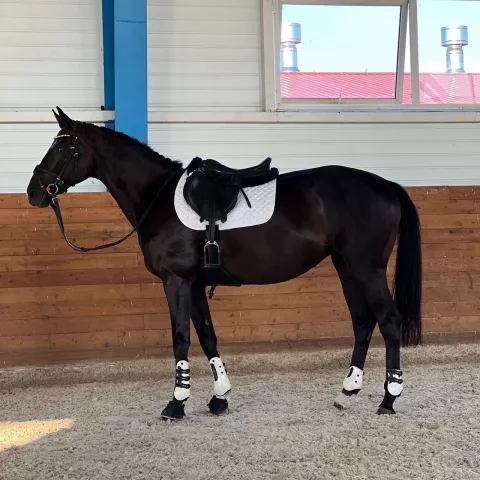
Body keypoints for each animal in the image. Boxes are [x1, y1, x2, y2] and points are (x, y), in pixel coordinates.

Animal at [28, 109, 422, 420]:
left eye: (61, 147)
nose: (34, 191)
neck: (157, 197)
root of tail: (388, 186)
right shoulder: (194, 284)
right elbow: (207, 335)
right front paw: (219, 398)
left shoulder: (176, 280)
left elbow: (181, 338)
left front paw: (176, 403)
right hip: (347, 269)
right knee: (362, 323)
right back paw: (346, 393)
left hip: (367, 270)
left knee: (388, 321)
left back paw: (388, 399)